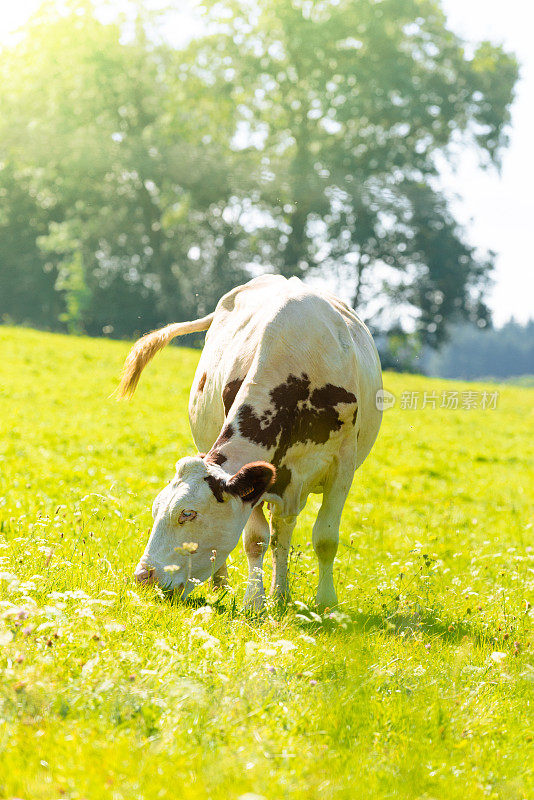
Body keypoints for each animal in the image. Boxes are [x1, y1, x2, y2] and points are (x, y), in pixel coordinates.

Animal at [119, 272, 384, 608]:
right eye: (155, 509)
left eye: (188, 514)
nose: (143, 577)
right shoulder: (257, 480)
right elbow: (255, 540)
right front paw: (254, 601)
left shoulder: (342, 467)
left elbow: (325, 538)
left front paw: (326, 603)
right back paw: (228, 586)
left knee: (284, 530)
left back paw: (280, 594)